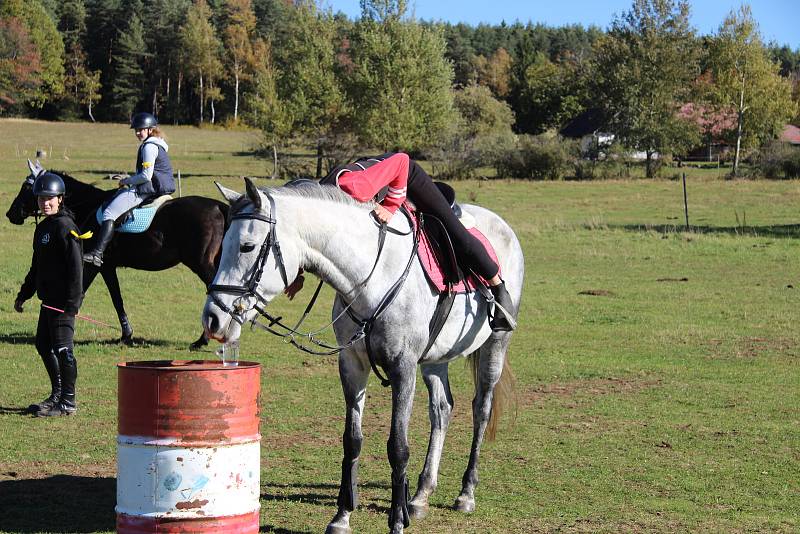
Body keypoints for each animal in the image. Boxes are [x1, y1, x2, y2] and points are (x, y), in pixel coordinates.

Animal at [8, 163, 228, 350]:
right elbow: (117, 299)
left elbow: (80, 293)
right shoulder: (107, 267)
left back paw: (203, 340)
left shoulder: (92, 266)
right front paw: (126, 335)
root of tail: (218, 206)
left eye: (27, 187)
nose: (10, 214)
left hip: (201, 264)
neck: (87, 205)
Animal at [203, 181, 520, 534]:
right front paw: (341, 517)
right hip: (435, 360)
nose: (213, 318)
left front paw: (396, 522)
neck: (372, 277)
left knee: (481, 409)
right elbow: (352, 440)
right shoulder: (353, 365)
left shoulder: (403, 368)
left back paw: (466, 492)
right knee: (442, 409)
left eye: (247, 246)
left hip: (495, 346)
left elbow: (398, 447)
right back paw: (421, 495)